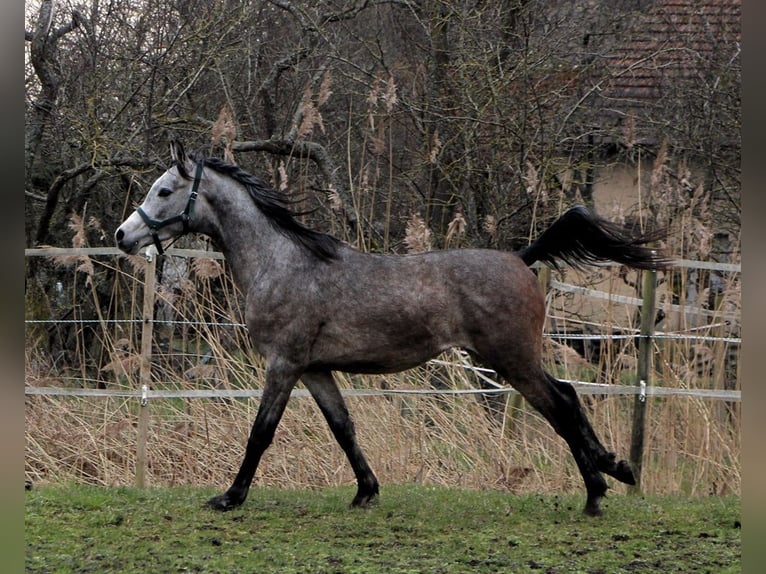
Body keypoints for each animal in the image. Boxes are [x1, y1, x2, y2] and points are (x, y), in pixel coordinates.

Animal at [117, 141, 668, 516]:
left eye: (164, 190)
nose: (123, 235)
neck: (284, 264)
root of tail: (521, 257)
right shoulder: (314, 369)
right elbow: (343, 428)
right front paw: (366, 491)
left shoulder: (284, 364)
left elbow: (261, 432)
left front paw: (231, 496)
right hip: (512, 359)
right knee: (569, 396)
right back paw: (613, 470)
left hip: (511, 360)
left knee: (561, 404)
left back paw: (597, 491)